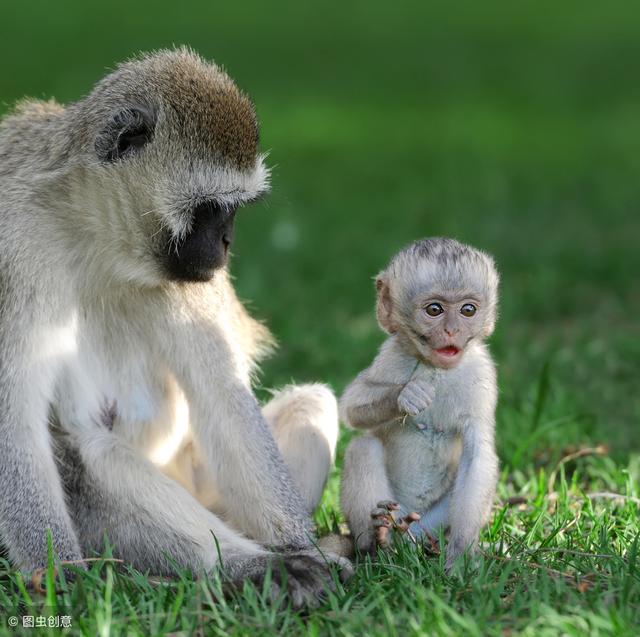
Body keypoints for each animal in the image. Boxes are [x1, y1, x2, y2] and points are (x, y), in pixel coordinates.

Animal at [0, 49, 348, 608]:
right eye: (212, 208)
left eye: (236, 210)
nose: (227, 243)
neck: (97, 241)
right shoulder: (18, 251)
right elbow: (14, 420)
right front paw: (62, 578)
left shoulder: (189, 276)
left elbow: (224, 398)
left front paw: (302, 547)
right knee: (92, 452)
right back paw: (248, 567)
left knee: (310, 401)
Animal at [340, 237, 500, 568]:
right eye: (434, 309)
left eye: (468, 310)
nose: (452, 330)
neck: (437, 370)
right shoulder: (391, 356)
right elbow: (351, 407)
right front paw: (406, 396)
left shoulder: (482, 376)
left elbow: (478, 456)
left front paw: (461, 555)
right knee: (363, 446)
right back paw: (378, 543)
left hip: (428, 522)